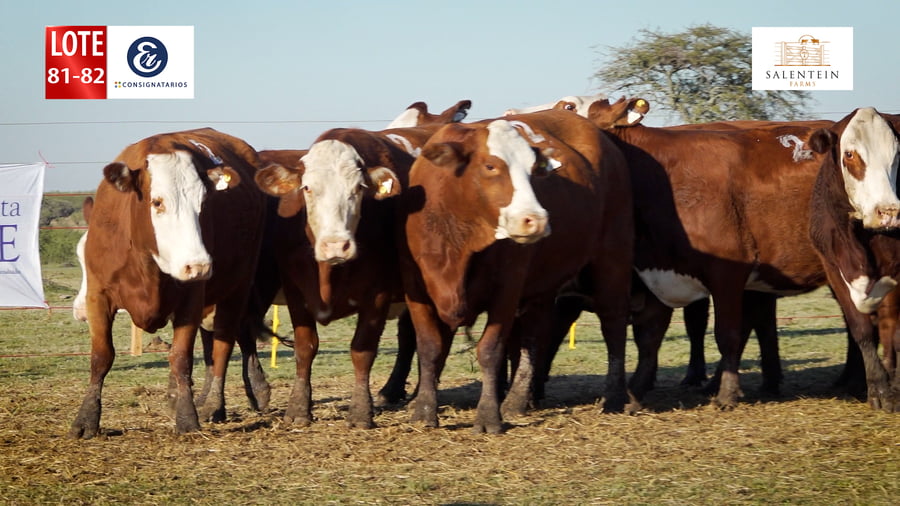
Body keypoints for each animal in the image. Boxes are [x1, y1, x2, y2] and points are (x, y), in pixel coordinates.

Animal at [69, 128, 269, 438]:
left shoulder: (191, 298)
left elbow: (181, 357)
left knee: (225, 342)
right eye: (157, 202)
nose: (199, 265)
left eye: (203, 204)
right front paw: (86, 418)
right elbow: (101, 356)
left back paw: (217, 402)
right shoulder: (99, 296)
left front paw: (187, 417)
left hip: (237, 287)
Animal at [401, 110, 634, 433]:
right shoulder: (417, 289)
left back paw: (613, 397)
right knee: (536, 333)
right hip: (543, 283)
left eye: (533, 171)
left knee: (613, 323)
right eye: (490, 165)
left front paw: (488, 415)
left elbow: (490, 350)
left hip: (612, 258)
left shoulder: (507, 289)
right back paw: (517, 400)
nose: (535, 220)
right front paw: (424, 411)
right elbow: (430, 348)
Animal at [807, 107, 900, 411]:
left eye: (897, 152)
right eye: (849, 154)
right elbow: (861, 329)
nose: (889, 212)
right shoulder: (834, 271)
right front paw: (879, 388)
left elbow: (894, 331)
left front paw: (895, 387)